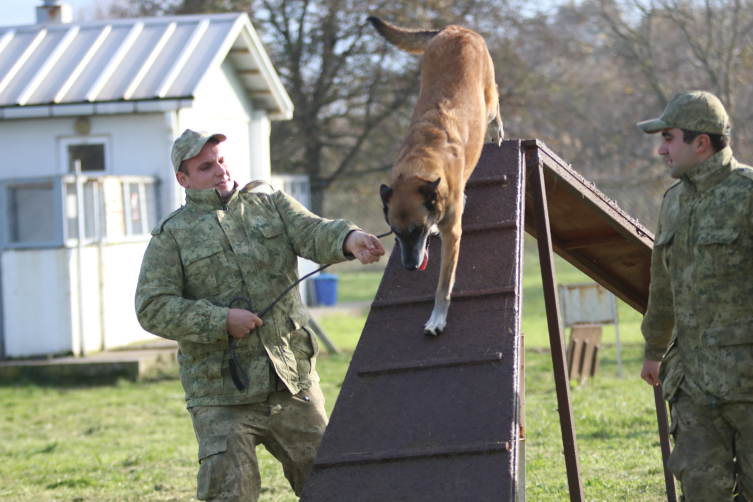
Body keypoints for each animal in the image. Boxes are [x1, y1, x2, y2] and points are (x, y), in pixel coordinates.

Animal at [368, 16, 502, 338]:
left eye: (417, 230)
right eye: (395, 232)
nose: (409, 266)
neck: (420, 163)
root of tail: (455, 28)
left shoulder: (453, 233)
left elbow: (444, 285)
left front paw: (437, 319)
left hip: (488, 98)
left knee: (495, 101)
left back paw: (496, 129)